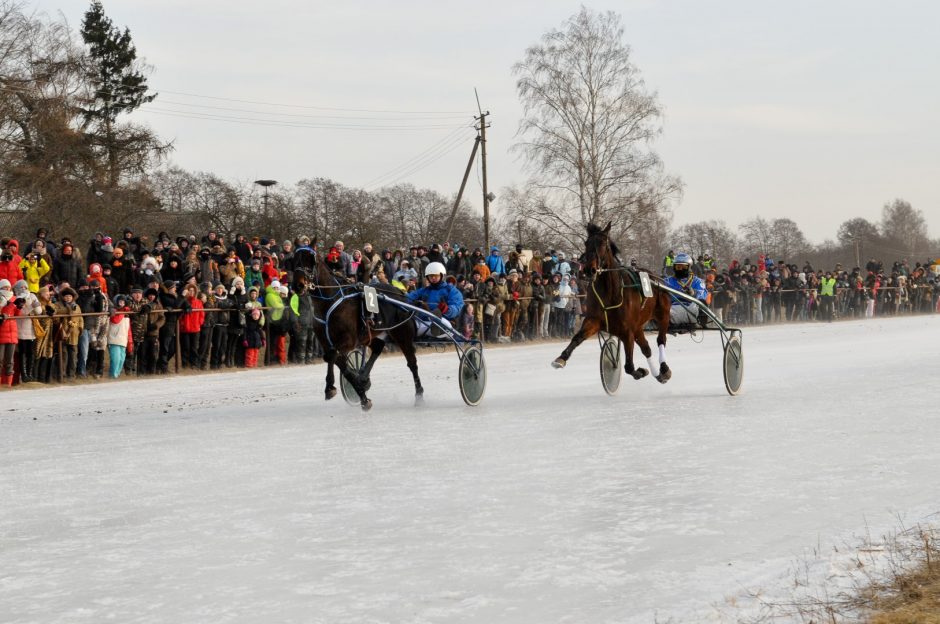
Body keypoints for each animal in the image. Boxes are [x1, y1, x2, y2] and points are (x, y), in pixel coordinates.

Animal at [302, 241, 426, 412]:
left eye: (310, 259)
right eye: (293, 260)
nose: (298, 284)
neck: (329, 302)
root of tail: (401, 294)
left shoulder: (348, 340)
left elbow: (333, 357)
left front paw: (332, 387)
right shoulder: (328, 342)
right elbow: (337, 361)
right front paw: (360, 389)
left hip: (402, 333)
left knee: (412, 363)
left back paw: (419, 395)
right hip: (375, 333)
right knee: (378, 347)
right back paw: (364, 377)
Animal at [552, 222, 676, 382]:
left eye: (603, 243)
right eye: (587, 243)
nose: (589, 270)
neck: (610, 293)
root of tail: (658, 278)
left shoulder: (627, 330)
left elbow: (629, 366)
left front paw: (641, 371)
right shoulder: (595, 320)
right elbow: (578, 337)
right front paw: (561, 358)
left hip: (663, 315)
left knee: (661, 340)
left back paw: (664, 369)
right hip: (639, 326)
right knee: (646, 348)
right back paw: (657, 373)